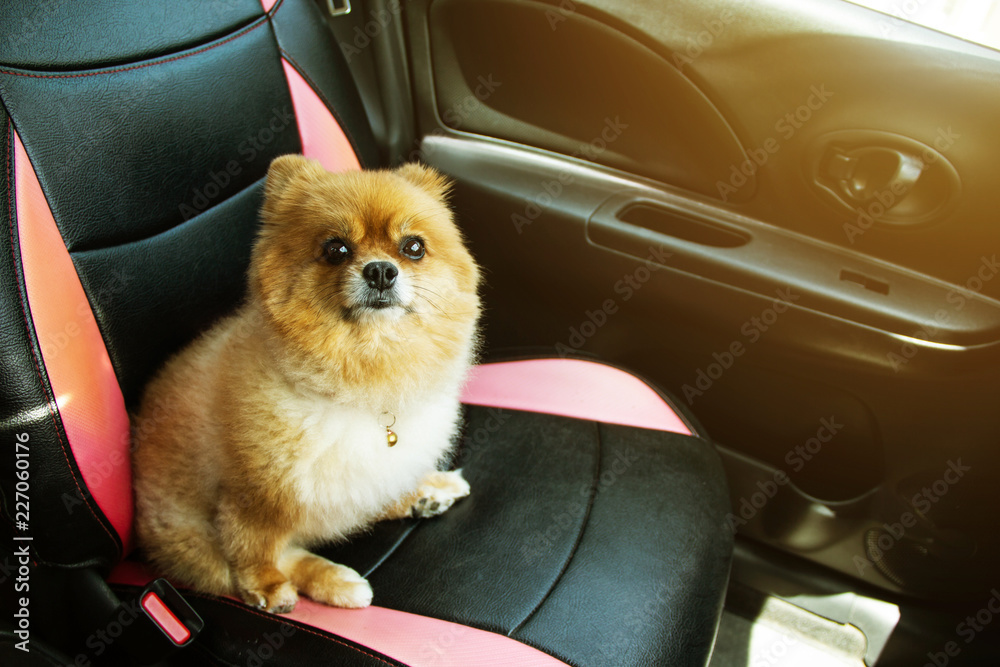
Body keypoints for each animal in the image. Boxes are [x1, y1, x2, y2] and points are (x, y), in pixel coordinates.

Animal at [131, 154, 482, 612]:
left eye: (413, 247)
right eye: (336, 249)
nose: (381, 271)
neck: (368, 372)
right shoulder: (251, 496)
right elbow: (253, 544)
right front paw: (265, 586)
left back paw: (428, 491)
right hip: (189, 532)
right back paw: (334, 580)